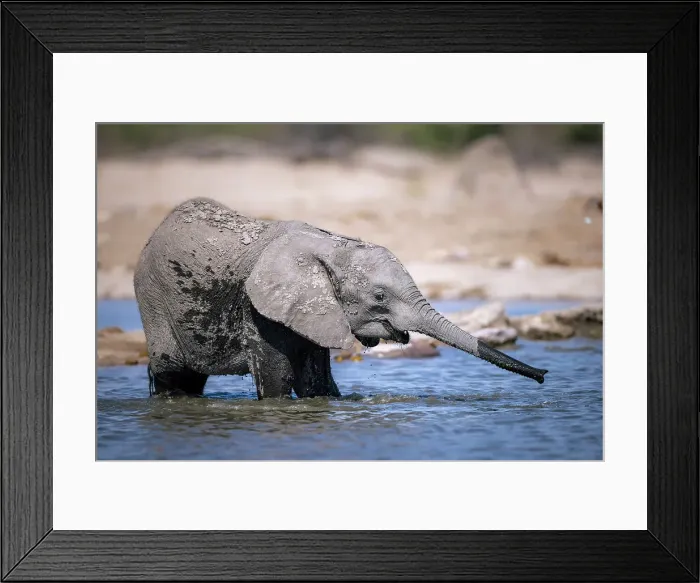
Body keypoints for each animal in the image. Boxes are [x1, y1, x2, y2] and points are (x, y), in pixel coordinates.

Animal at [134, 197, 548, 399]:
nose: (545, 376)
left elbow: (316, 382)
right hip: (153, 297)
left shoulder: (315, 310)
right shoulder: (257, 310)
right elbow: (277, 380)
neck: (332, 245)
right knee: (173, 374)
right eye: (379, 295)